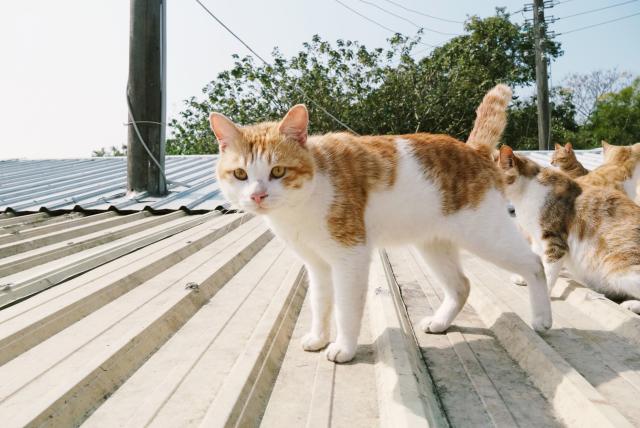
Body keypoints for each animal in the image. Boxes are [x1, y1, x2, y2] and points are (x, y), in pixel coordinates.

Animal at [210, 85, 552, 362]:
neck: (301, 204)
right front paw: (319, 338)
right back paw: (440, 322)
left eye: (278, 171)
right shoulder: (317, 265)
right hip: (433, 244)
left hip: (486, 236)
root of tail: (473, 149)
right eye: (240, 174)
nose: (257, 196)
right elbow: (320, 303)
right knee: (461, 285)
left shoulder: (350, 256)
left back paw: (543, 319)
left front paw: (343, 348)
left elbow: (346, 309)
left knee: (535, 264)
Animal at [500, 147, 640, 314]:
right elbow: (537, 263)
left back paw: (630, 304)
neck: (525, 192)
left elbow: (548, 271)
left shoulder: (555, 243)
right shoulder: (537, 239)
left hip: (618, 269)